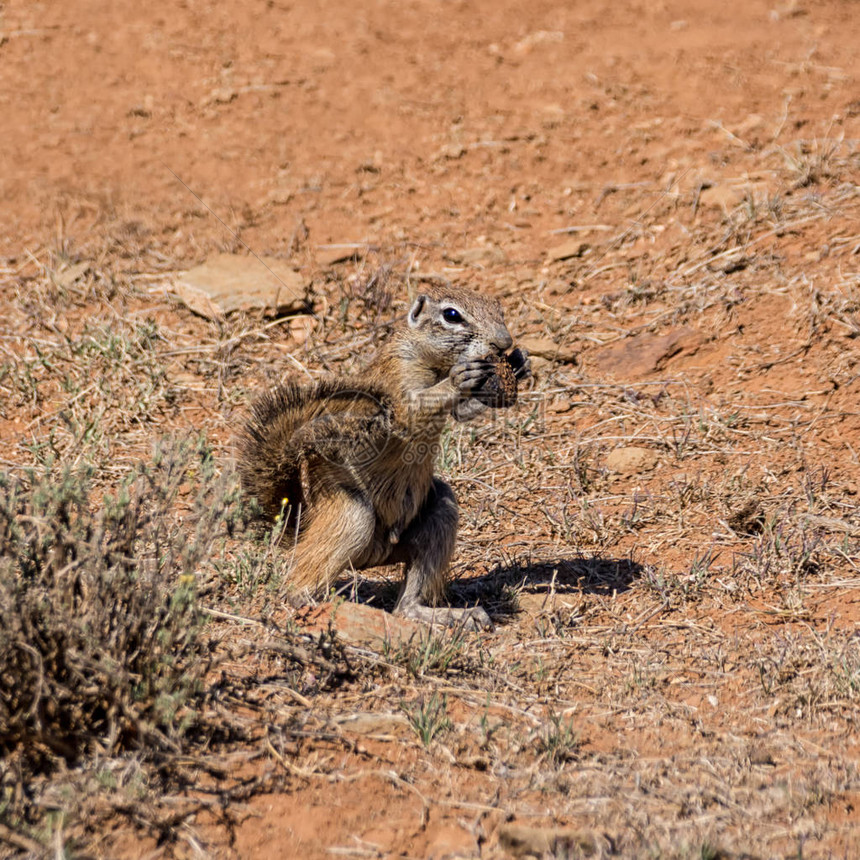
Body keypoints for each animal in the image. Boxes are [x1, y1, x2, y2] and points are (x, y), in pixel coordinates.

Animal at [237, 286, 532, 628]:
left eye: (499, 308)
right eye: (451, 315)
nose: (504, 343)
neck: (433, 363)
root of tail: (301, 528)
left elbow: (462, 412)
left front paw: (521, 365)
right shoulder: (397, 378)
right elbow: (412, 409)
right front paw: (460, 378)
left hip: (439, 511)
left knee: (405, 605)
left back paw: (451, 614)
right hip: (352, 513)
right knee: (296, 584)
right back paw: (313, 602)